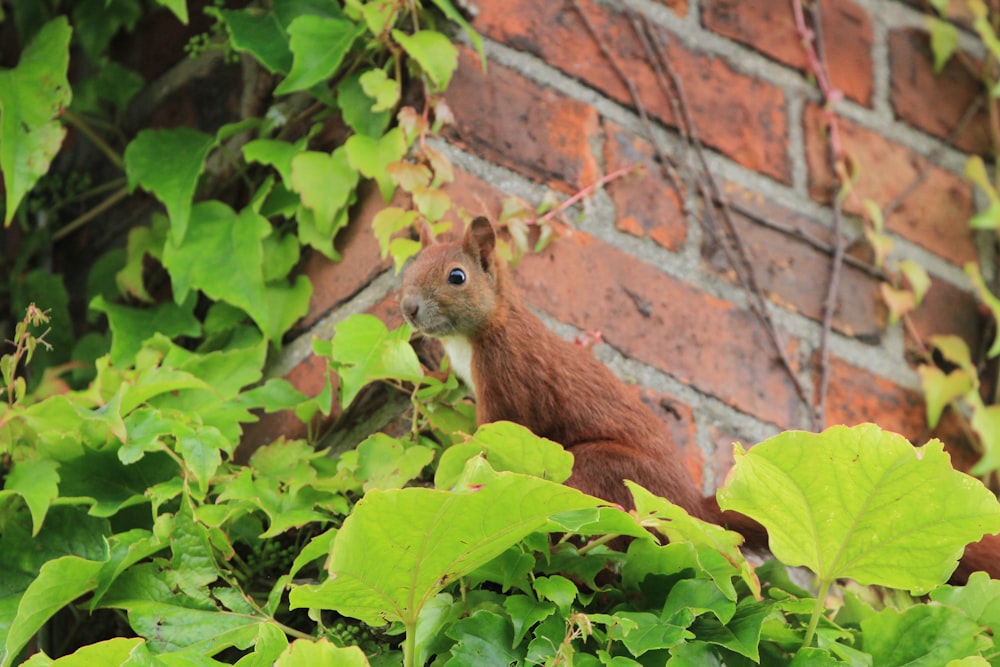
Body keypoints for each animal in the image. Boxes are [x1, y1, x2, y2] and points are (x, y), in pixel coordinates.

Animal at [400, 215, 1000, 584]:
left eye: (457, 277)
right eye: (406, 269)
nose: (406, 308)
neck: (481, 331)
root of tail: (688, 504)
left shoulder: (507, 380)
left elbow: (494, 432)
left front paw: (459, 442)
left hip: (600, 473)